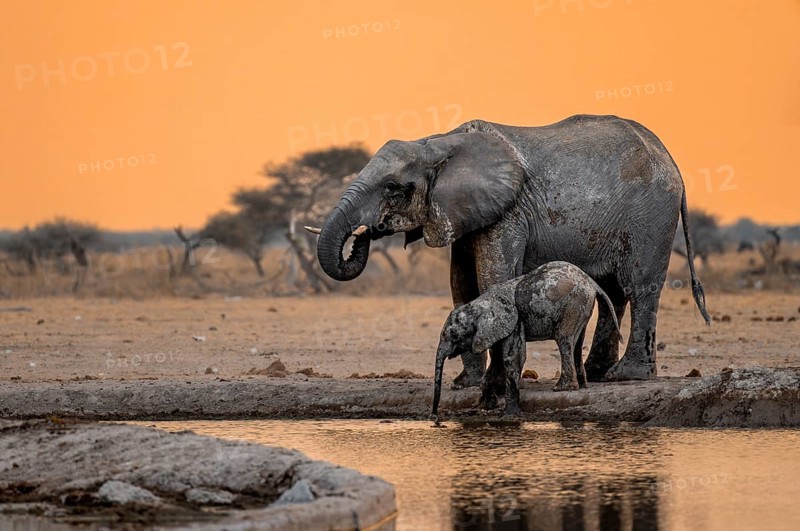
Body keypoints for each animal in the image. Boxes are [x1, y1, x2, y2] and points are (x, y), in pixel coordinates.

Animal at [313, 114, 710, 390]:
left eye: (393, 188)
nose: (366, 232)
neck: (437, 142)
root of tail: (671, 161)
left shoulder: (508, 213)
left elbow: (493, 278)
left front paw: (497, 382)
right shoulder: (464, 212)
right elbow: (461, 286)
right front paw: (465, 385)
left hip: (651, 218)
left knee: (638, 288)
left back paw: (625, 376)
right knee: (613, 291)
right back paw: (597, 374)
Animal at [431, 261, 621, 417]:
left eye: (453, 335)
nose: (434, 417)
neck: (481, 303)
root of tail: (592, 282)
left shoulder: (514, 321)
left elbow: (512, 358)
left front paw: (509, 415)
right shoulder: (496, 330)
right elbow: (498, 358)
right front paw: (485, 405)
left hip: (573, 305)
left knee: (564, 340)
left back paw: (561, 388)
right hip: (582, 307)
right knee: (577, 344)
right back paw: (581, 386)